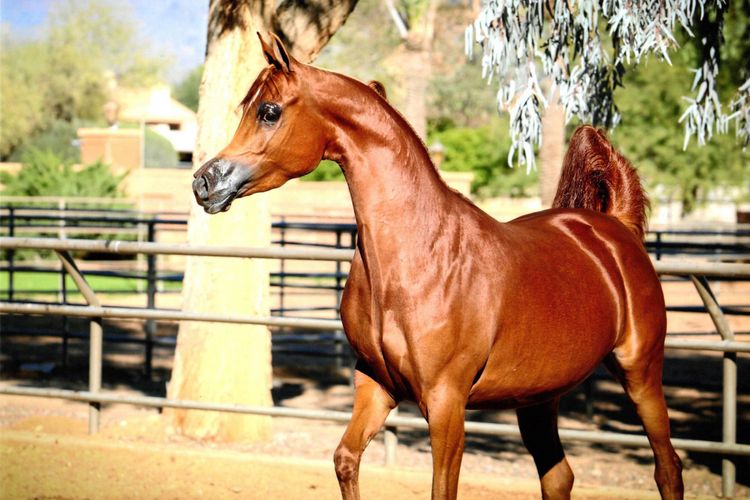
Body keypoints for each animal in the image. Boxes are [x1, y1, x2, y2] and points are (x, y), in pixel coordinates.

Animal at [194, 33, 688, 498]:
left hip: (641, 374)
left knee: (668, 470)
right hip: (537, 399)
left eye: (269, 111)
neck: (415, 261)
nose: (204, 182)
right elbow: (345, 459)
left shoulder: (447, 403)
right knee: (559, 477)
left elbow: (441, 488)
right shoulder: (375, 385)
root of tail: (616, 228)